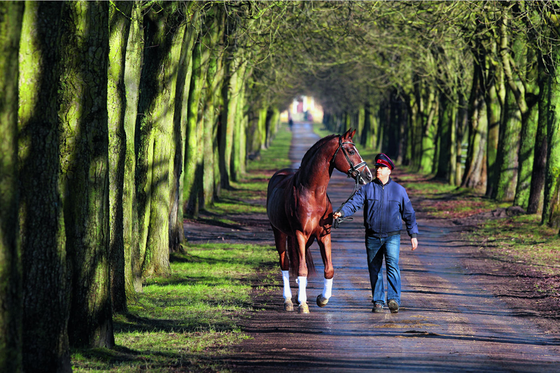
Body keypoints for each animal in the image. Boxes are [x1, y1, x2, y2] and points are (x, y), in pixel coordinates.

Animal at [266, 129, 372, 312]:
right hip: (279, 232)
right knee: (285, 263)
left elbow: (328, 269)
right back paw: (289, 300)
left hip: (306, 239)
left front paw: (322, 299)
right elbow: (302, 269)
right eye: (351, 151)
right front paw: (303, 304)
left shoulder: (323, 235)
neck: (312, 193)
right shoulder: (300, 234)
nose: (369, 175)